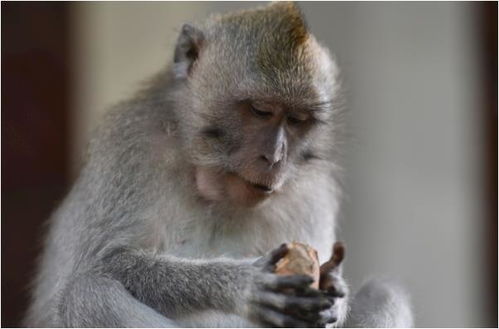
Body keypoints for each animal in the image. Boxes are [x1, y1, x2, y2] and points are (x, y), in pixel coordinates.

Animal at [25, 1, 414, 326]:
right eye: (260, 110)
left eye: (297, 120)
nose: (274, 157)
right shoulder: (128, 144)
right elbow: (105, 262)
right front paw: (240, 284)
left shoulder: (311, 190)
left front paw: (332, 287)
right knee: (88, 294)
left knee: (385, 293)